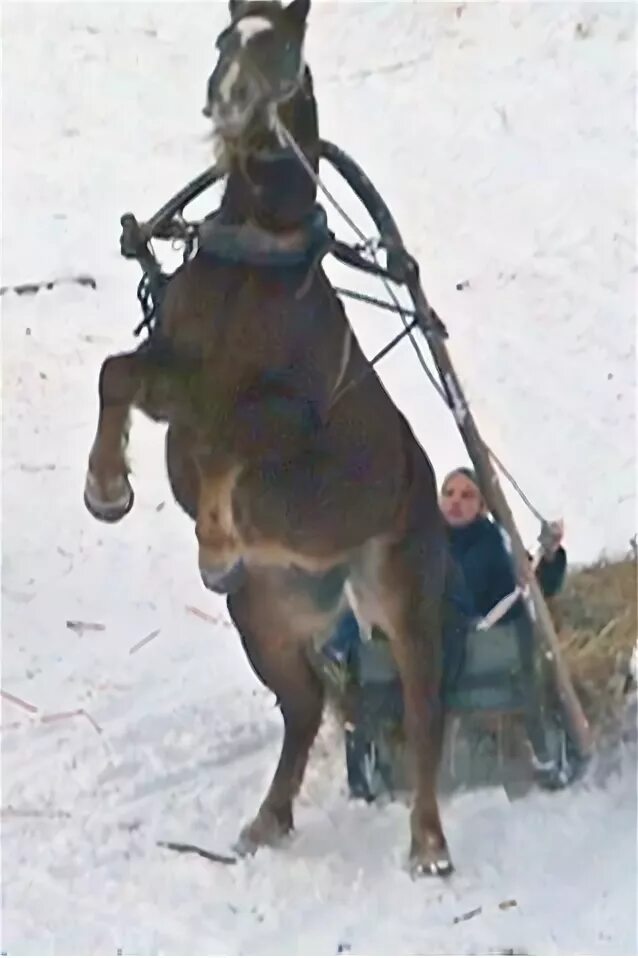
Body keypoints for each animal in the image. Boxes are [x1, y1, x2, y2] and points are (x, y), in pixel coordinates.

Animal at [85, 0, 452, 876]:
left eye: (284, 46)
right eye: (225, 38)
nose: (226, 100)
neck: (259, 257)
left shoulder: (281, 419)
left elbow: (229, 447)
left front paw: (216, 540)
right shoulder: (175, 380)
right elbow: (116, 376)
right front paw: (106, 489)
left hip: (405, 599)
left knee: (424, 709)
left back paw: (428, 843)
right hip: (266, 621)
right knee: (308, 704)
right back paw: (268, 818)